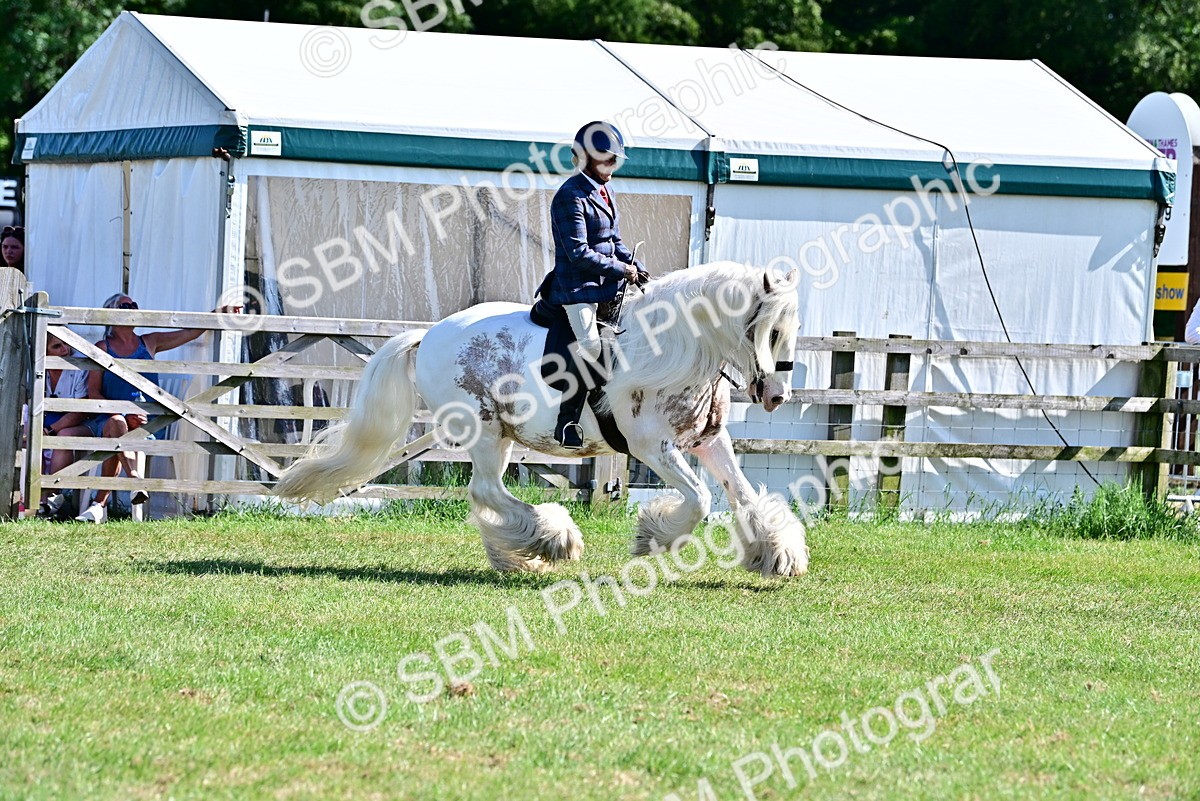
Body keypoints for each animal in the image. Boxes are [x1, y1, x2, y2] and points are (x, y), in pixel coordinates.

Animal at [273, 261, 809, 577]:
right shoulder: (652, 448)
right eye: (770, 330)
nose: (777, 395)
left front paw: (776, 554)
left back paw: (514, 554)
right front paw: (652, 536)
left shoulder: (709, 441)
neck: (676, 345)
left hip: (502, 434)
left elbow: (743, 495)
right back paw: (554, 540)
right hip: (484, 430)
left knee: (484, 495)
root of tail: (427, 336)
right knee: (487, 490)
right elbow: (698, 499)